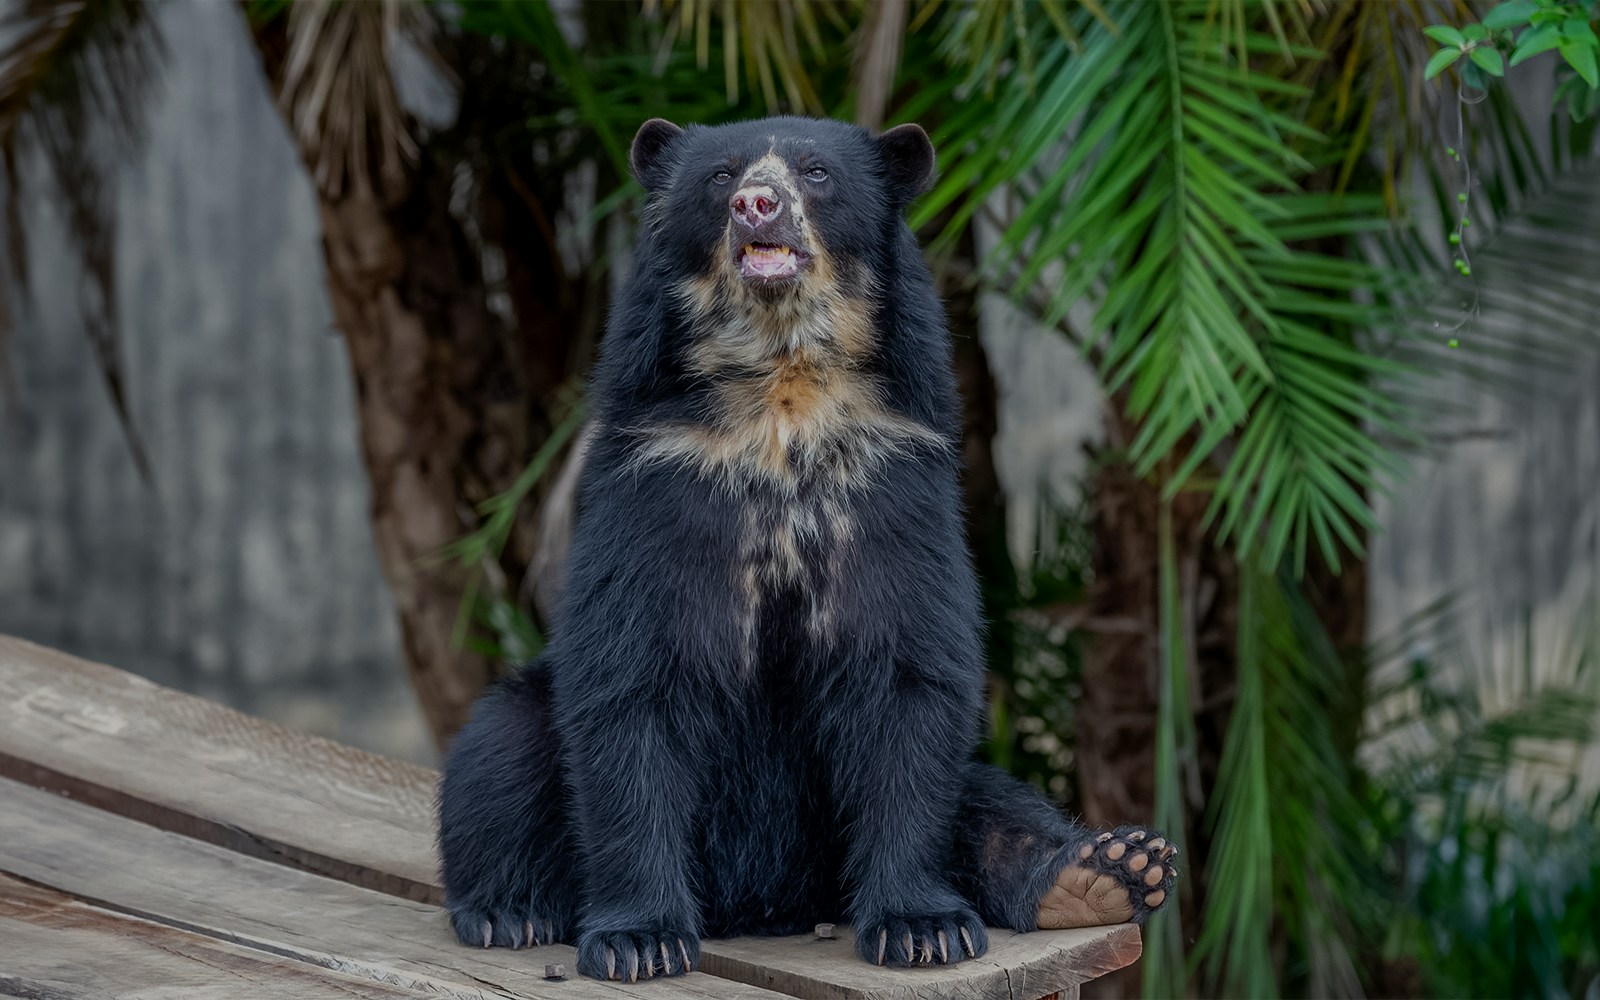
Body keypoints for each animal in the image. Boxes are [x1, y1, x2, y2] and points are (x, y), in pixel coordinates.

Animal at [437, 115, 1177, 982]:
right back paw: (510, 910)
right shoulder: (655, 480)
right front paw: (639, 942)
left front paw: (924, 930)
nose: (758, 205)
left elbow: (908, 683)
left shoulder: (893, 486)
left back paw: (1108, 872)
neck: (782, 390)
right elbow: (632, 684)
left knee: (990, 797)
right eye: (722, 176)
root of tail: (769, 906)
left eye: (816, 173)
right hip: (521, 723)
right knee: (501, 754)